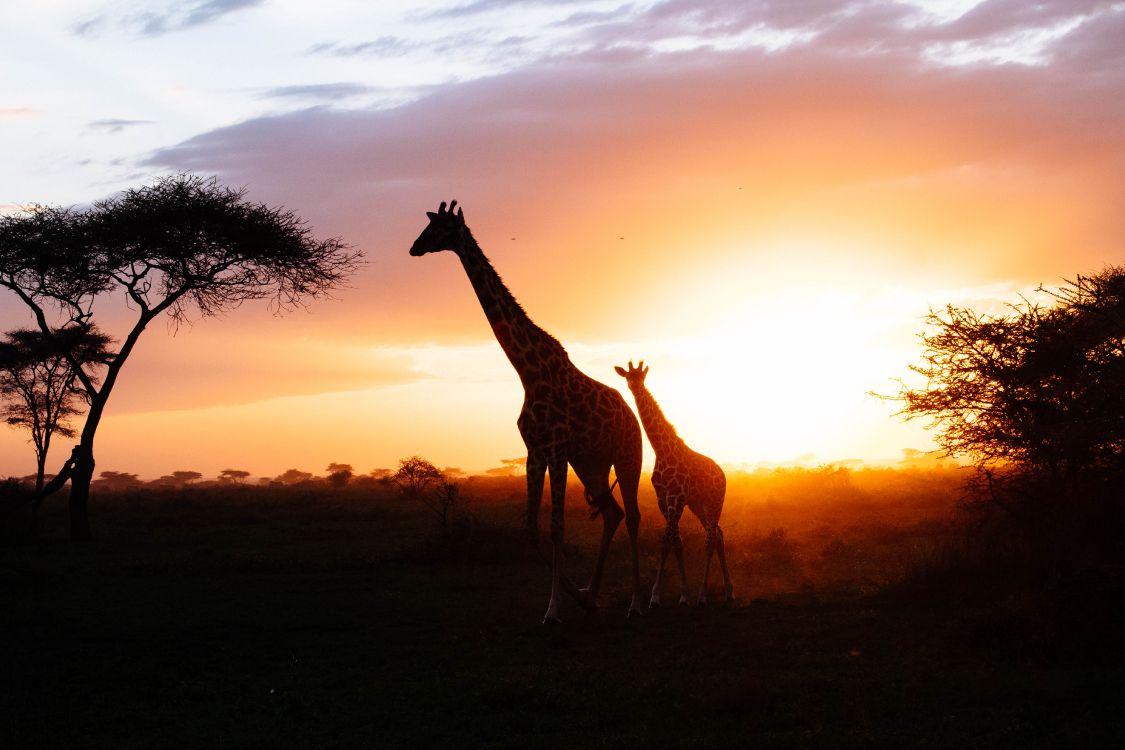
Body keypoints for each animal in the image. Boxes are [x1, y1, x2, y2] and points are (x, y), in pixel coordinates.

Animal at [410, 201, 644, 622]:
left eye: (442, 229)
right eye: (428, 226)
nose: (414, 247)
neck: (528, 371)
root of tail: (631, 416)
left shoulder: (557, 449)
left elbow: (556, 528)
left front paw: (553, 609)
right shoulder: (535, 451)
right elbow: (531, 529)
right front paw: (574, 596)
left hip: (626, 456)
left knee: (632, 516)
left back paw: (636, 602)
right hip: (592, 464)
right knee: (613, 513)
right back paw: (592, 595)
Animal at [615, 360, 733, 606]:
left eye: (641, 376)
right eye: (628, 377)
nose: (635, 386)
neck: (661, 450)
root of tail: (722, 474)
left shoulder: (676, 497)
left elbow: (665, 541)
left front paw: (655, 596)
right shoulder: (664, 499)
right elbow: (676, 542)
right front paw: (683, 594)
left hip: (715, 502)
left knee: (710, 538)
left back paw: (703, 594)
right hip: (699, 505)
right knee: (718, 534)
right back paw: (728, 591)